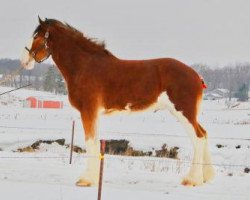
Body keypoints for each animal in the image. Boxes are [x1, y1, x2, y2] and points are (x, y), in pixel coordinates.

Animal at [21, 17, 215, 188]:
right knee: (204, 134)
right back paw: (206, 177)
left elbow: (90, 142)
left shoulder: (88, 111)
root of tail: (196, 75)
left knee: (198, 138)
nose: (24, 61)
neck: (85, 66)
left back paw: (192, 180)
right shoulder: (93, 113)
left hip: (183, 112)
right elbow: (95, 142)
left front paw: (86, 180)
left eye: (37, 37)